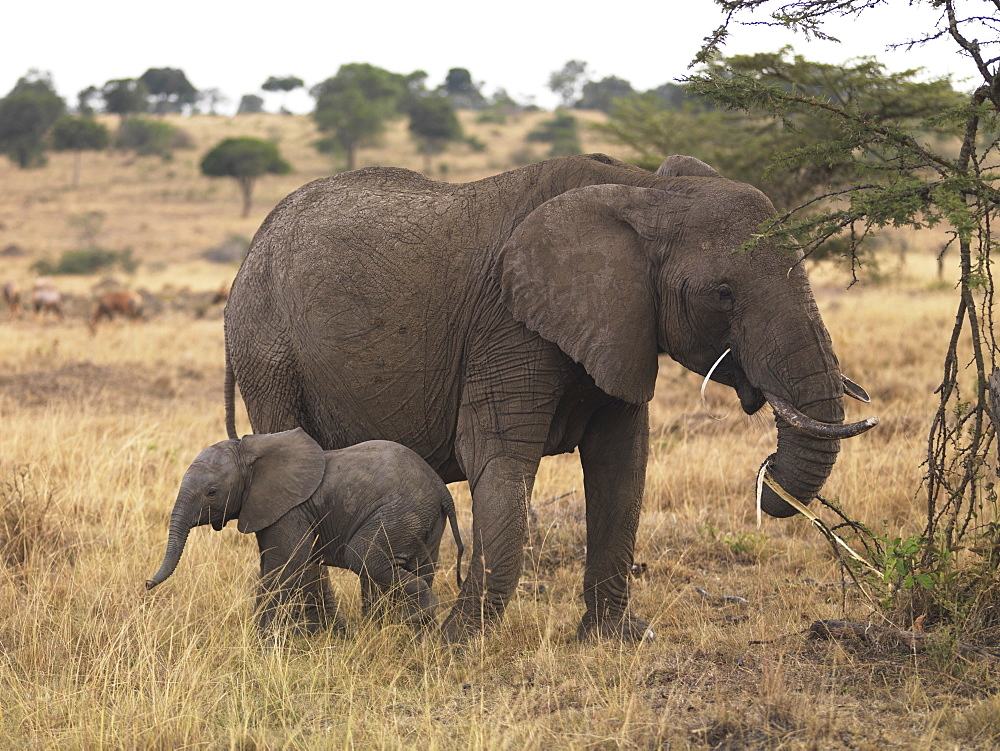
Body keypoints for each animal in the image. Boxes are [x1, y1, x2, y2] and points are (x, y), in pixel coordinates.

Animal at [147, 428, 464, 636]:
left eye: (211, 492)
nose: (147, 584)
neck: (250, 452)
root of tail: (441, 489)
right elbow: (274, 565)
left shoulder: (289, 511)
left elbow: (286, 565)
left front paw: (263, 643)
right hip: (424, 519)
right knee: (421, 566)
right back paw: (416, 632)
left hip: (401, 510)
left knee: (363, 556)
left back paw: (423, 614)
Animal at [225, 153, 876, 640]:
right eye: (723, 292)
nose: (765, 482)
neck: (647, 191)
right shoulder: (508, 324)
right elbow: (499, 459)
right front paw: (456, 642)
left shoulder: (621, 326)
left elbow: (622, 467)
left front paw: (615, 639)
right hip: (268, 350)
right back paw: (310, 634)